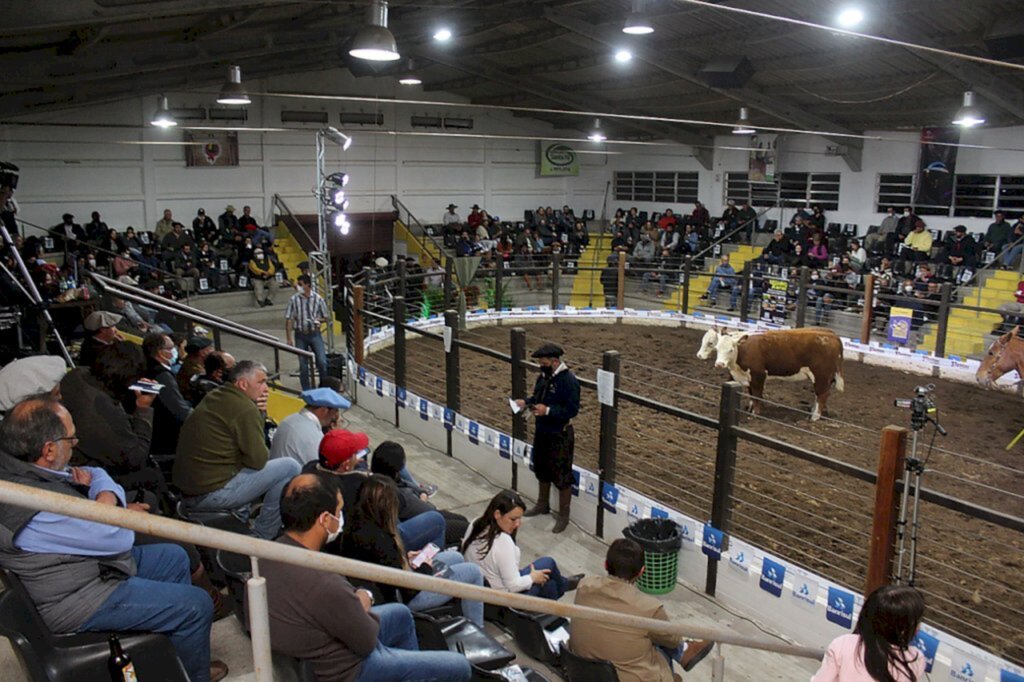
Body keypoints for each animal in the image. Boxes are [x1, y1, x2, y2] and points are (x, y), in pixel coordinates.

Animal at [696, 325, 847, 417]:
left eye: (731, 349)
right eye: (717, 347)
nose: (719, 364)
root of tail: (833, 336)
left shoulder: (758, 375)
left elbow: (757, 394)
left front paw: (755, 413)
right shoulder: (748, 377)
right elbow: (751, 394)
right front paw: (749, 408)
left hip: (821, 374)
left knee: (823, 394)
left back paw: (815, 417)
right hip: (824, 376)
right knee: (820, 394)